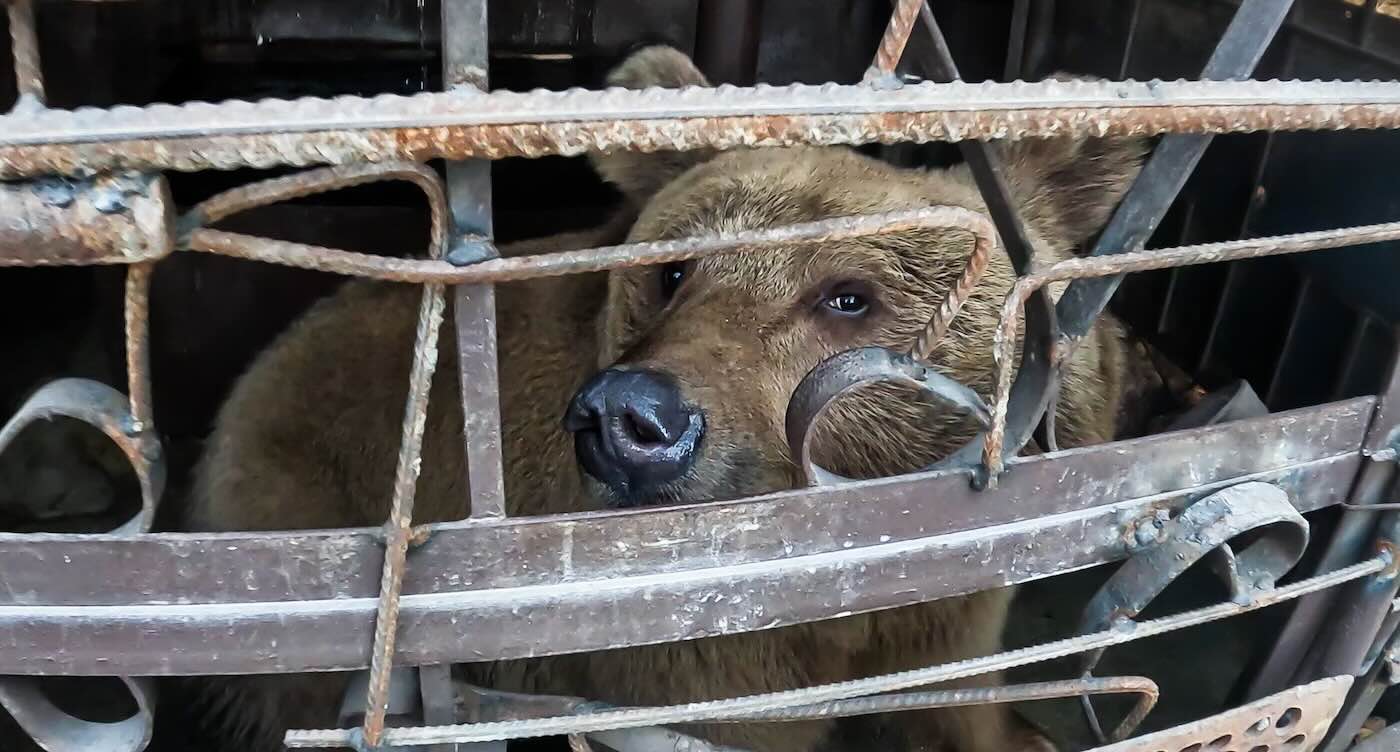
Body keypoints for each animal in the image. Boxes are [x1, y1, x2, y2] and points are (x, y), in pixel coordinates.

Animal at [184, 46, 1146, 752]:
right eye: (673, 273)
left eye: (848, 296)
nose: (630, 419)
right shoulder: (678, 639)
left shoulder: (954, 602)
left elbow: (958, 694)